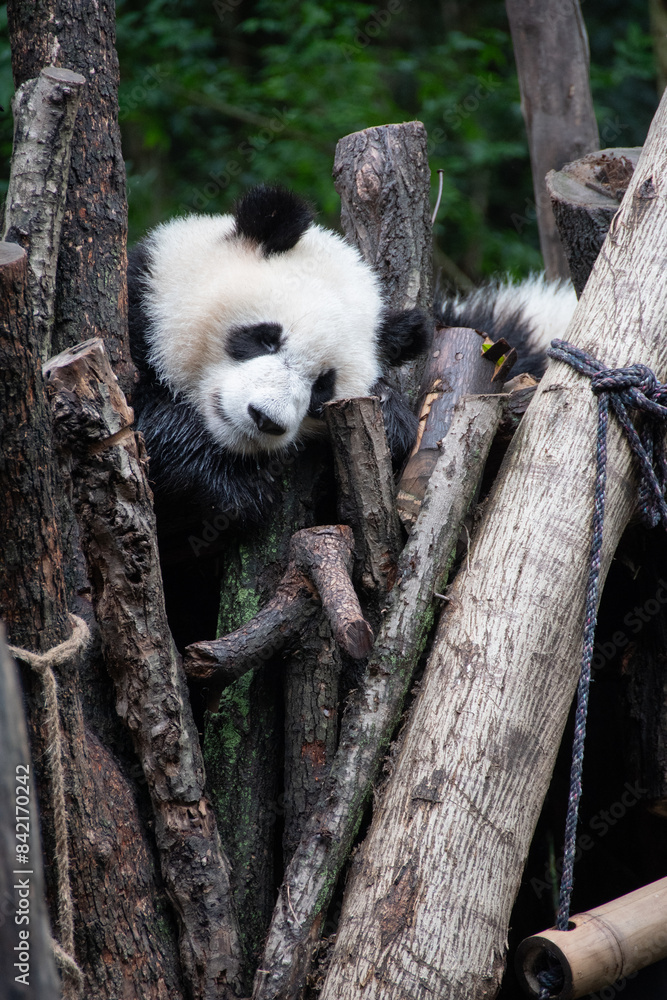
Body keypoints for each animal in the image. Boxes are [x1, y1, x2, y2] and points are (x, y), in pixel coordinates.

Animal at [127, 185, 432, 649]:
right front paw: (239, 488)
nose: (264, 418)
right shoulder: (139, 308)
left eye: (322, 387)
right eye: (265, 337)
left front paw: (390, 413)